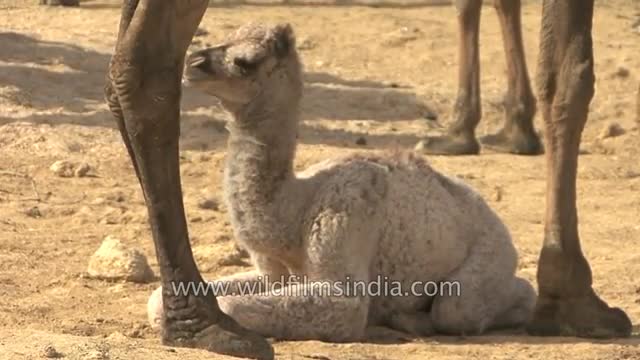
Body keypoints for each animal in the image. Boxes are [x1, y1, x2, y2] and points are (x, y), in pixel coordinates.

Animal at [148, 23, 532, 342]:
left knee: (464, 306)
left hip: (490, 258)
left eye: (246, 62)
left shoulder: (344, 231)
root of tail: (498, 222)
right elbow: (156, 300)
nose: (192, 63)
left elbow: (241, 307)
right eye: (223, 40)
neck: (294, 209)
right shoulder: (273, 273)